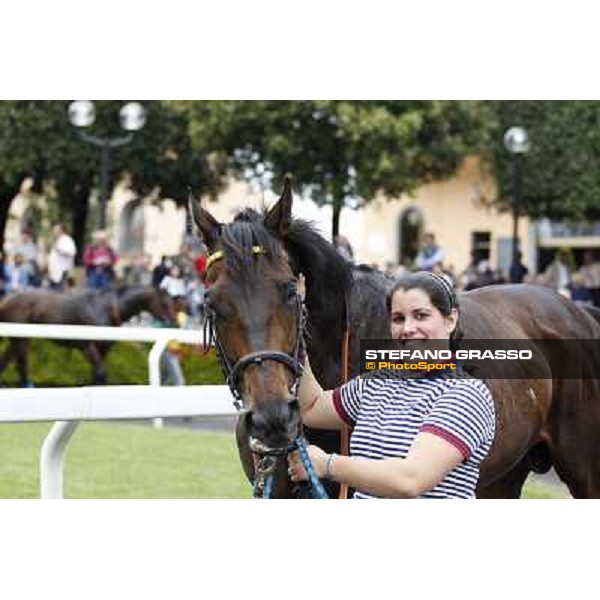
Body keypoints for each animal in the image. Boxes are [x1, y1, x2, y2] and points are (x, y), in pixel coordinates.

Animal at [0, 284, 177, 386]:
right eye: (164, 303)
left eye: (172, 303)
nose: (174, 323)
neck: (107, 308)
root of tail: (6, 300)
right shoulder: (88, 346)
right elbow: (100, 372)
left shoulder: (104, 348)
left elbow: (98, 374)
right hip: (21, 340)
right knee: (20, 364)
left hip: (17, 340)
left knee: (8, 362)